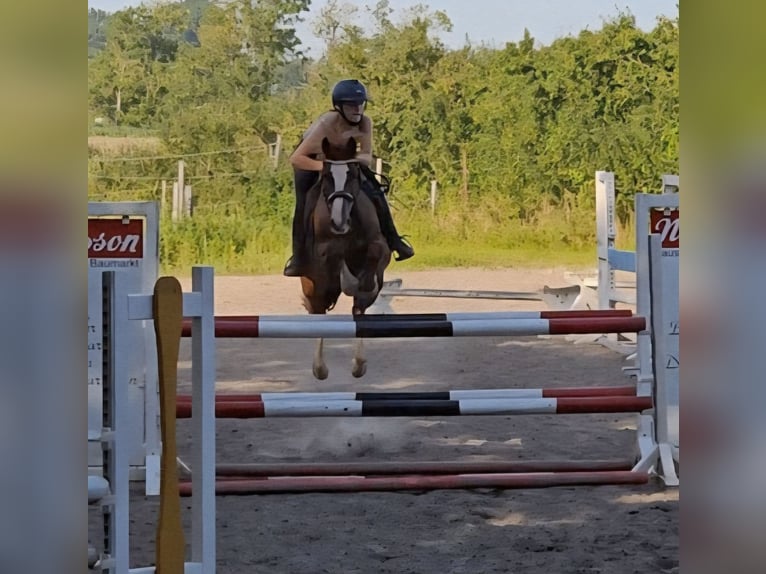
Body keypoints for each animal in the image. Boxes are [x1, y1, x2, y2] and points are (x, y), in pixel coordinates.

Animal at [299, 137, 391, 379]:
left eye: (352, 175)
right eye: (327, 176)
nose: (339, 222)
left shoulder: (381, 246)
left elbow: (374, 256)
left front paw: (360, 282)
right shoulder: (322, 252)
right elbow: (332, 258)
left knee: (358, 309)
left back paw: (358, 365)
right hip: (310, 287)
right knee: (319, 310)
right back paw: (319, 369)